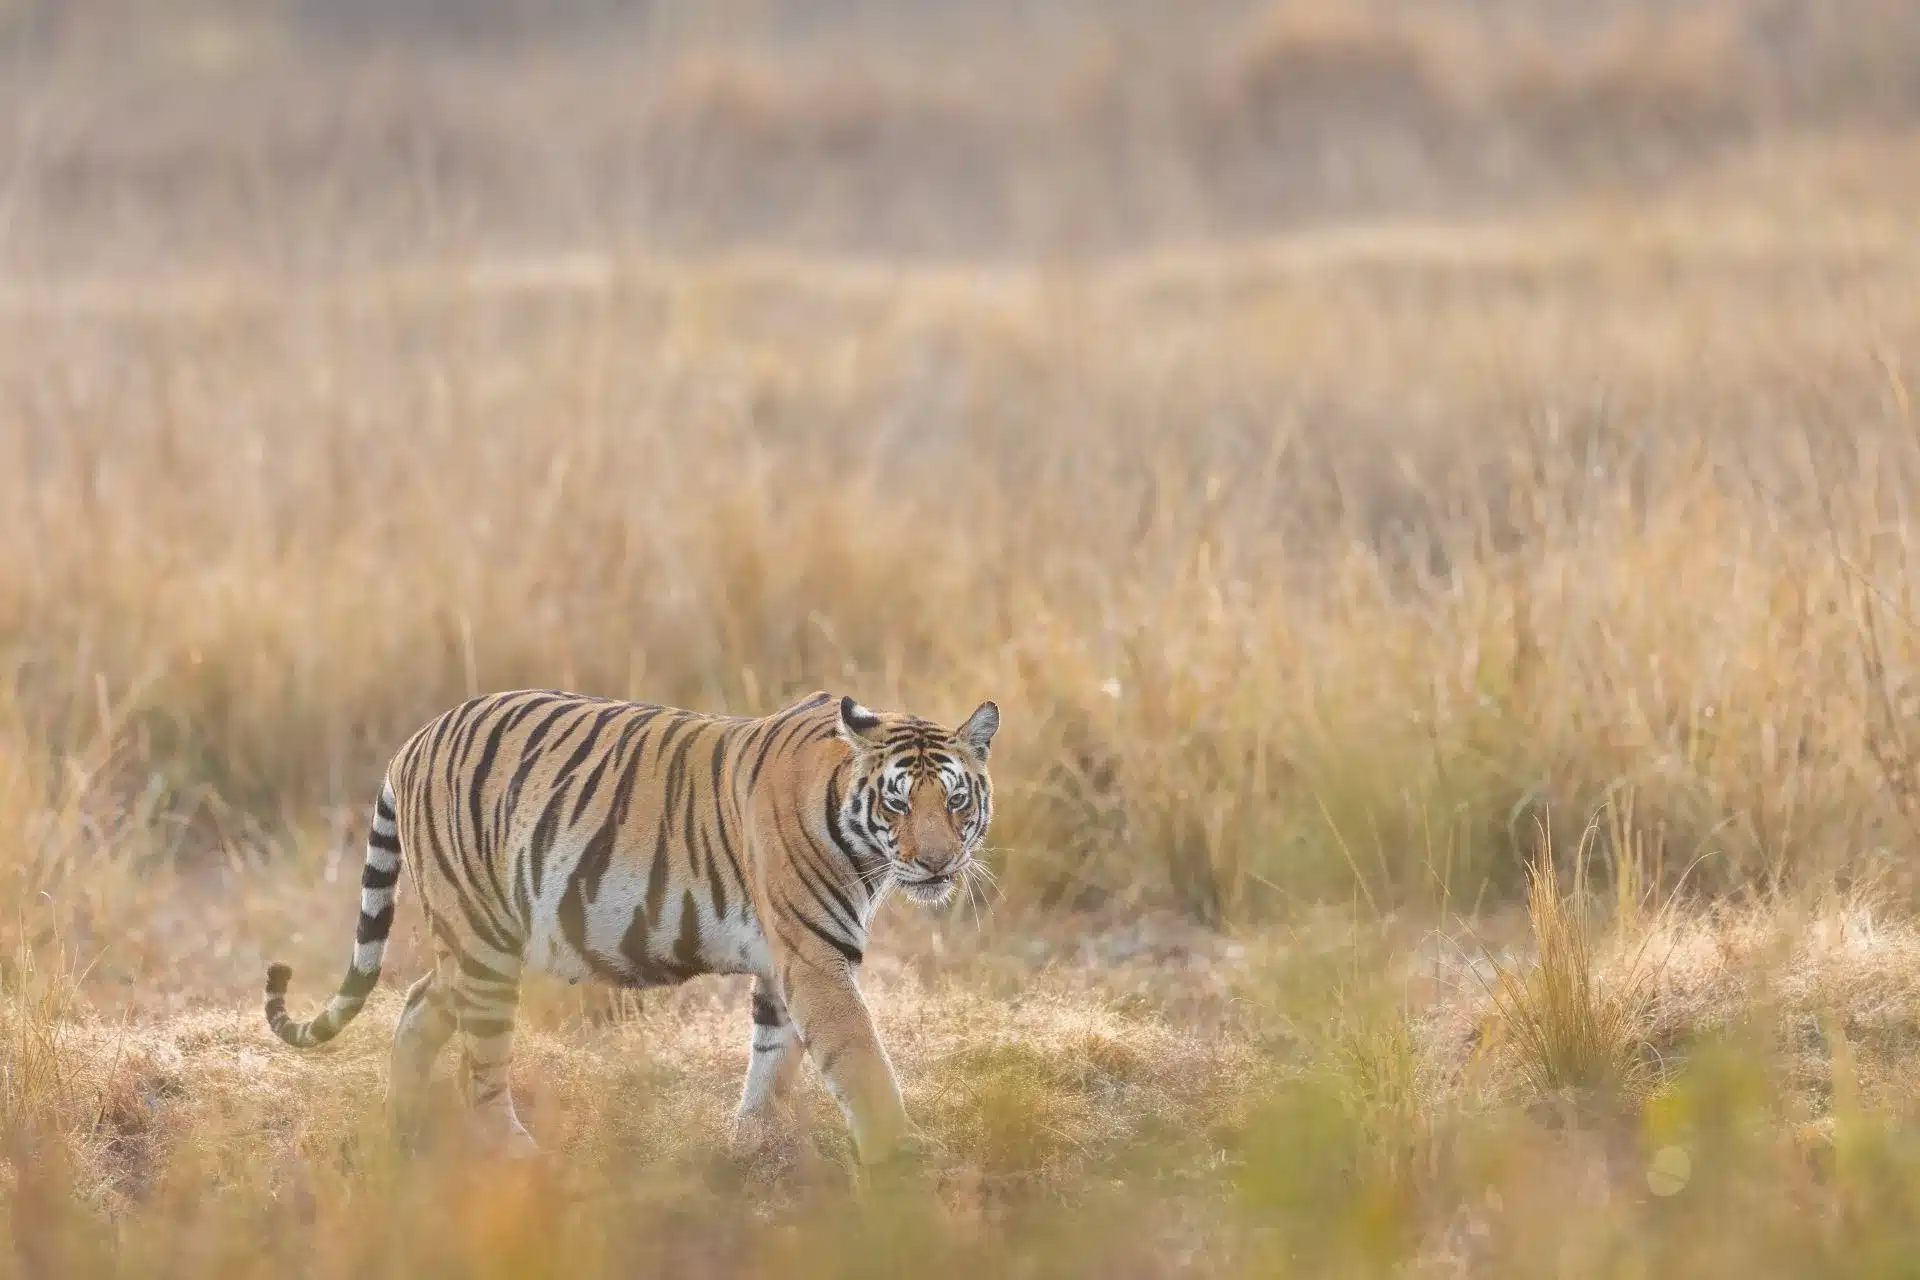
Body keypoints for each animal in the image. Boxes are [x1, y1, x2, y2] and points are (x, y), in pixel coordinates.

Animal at [261, 690, 998, 1174]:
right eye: (897, 803)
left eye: (956, 800)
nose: (937, 863)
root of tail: (415, 741)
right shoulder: (815, 957)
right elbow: (860, 1057)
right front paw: (901, 1151)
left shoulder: (784, 960)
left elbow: (773, 1056)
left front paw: (752, 1142)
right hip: (481, 942)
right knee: (480, 1069)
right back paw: (515, 1154)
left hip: (478, 942)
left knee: (416, 1009)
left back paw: (404, 1133)